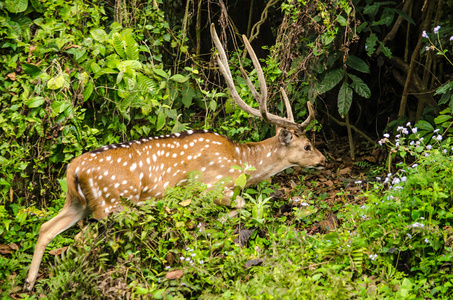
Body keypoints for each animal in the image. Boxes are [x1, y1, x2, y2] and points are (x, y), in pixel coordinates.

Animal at [24, 24, 324, 290]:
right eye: (308, 145)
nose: (323, 159)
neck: (240, 161)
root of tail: (73, 169)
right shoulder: (211, 187)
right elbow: (242, 207)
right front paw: (210, 227)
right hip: (111, 204)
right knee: (82, 239)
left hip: (77, 202)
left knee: (46, 227)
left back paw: (28, 284)